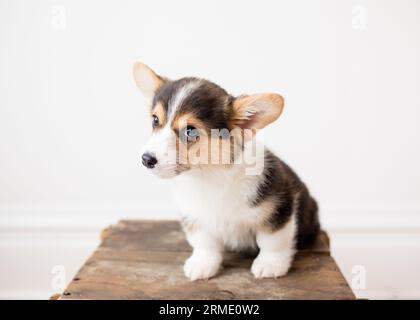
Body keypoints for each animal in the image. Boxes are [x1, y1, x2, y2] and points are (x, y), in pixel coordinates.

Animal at [133, 62, 320, 280]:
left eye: (190, 131)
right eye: (155, 120)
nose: (146, 159)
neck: (208, 175)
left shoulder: (280, 206)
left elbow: (273, 241)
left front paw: (270, 264)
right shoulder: (195, 217)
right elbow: (204, 243)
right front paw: (202, 264)